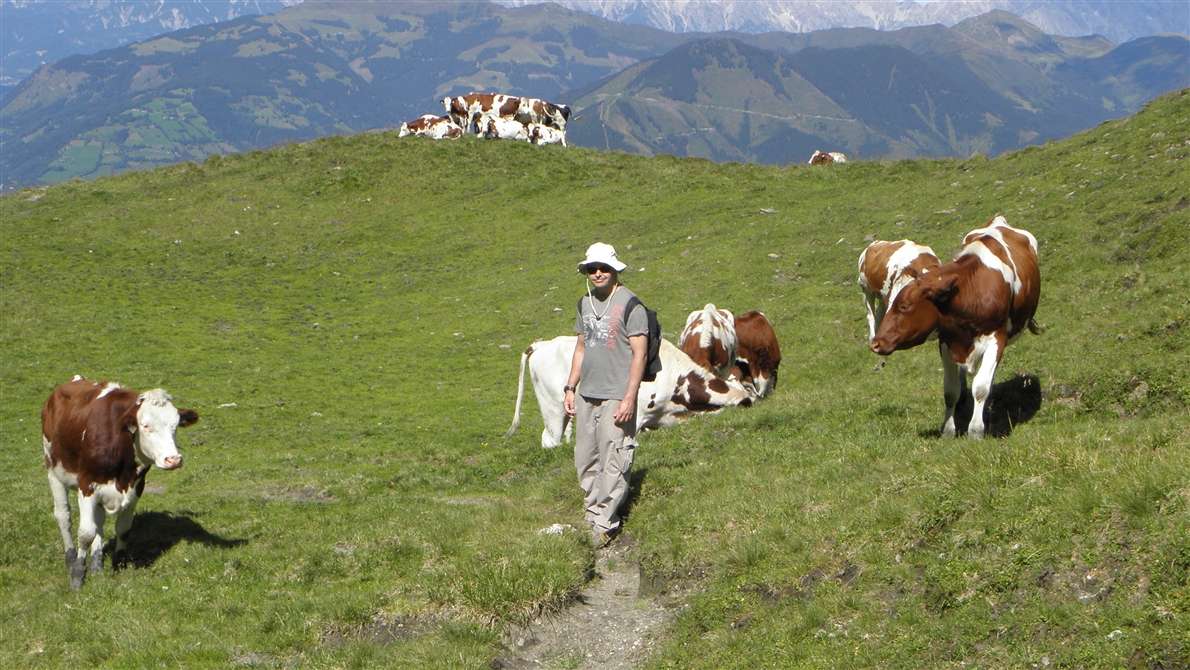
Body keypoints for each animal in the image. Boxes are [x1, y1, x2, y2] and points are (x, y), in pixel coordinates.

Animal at [41, 376, 198, 590]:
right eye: (145, 426)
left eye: (175, 425)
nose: (173, 459)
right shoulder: (87, 485)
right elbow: (86, 533)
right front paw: (78, 575)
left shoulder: (136, 487)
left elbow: (123, 530)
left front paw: (119, 565)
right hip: (53, 472)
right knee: (64, 517)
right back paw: (71, 559)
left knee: (98, 521)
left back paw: (97, 565)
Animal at [866, 211, 1042, 437]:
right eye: (889, 303)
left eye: (904, 306)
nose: (876, 343)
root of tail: (998, 221)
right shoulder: (947, 342)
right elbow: (950, 391)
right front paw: (948, 430)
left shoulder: (996, 338)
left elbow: (981, 387)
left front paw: (976, 430)